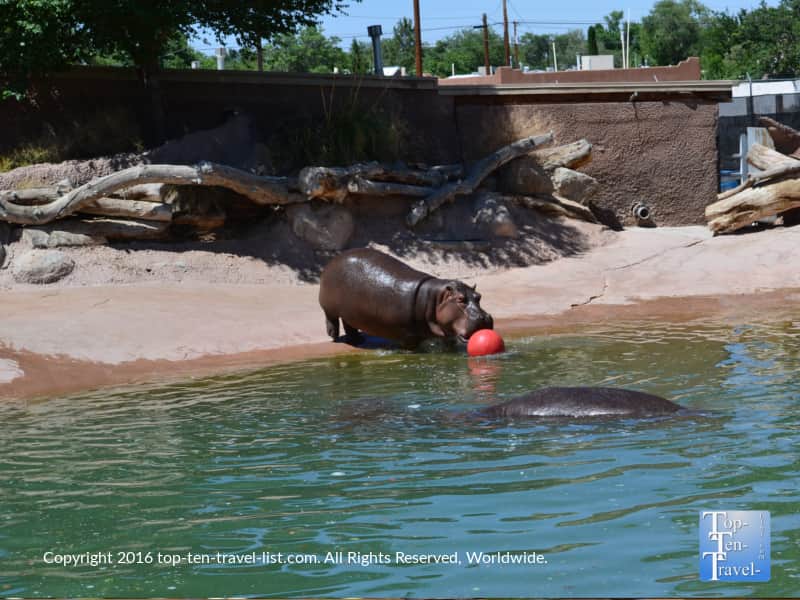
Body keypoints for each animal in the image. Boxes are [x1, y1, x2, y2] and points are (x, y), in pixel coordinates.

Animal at [319, 248, 494, 347]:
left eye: (479, 297)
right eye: (460, 299)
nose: (484, 317)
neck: (434, 299)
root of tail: (334, 259)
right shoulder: (408, 335)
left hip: (350, 311)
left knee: (349, 324)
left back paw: (357, 340)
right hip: (328, 306)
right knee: (332, 319)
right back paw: (334, 336)